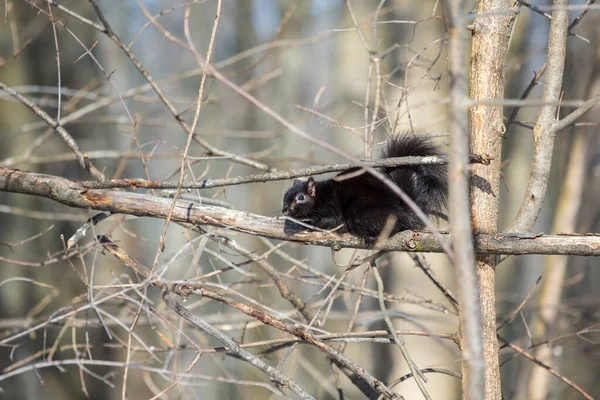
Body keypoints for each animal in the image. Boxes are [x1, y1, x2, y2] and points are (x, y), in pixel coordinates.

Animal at [280, 136, 446, 245]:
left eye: (301, 197)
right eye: (284, 197)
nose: (284, 210)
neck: (321, 196)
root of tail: (403, 213)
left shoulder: (331, 208)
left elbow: (328, 221)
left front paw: (308, 225)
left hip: (362, 212)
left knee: (393, 228)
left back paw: (372, 239)